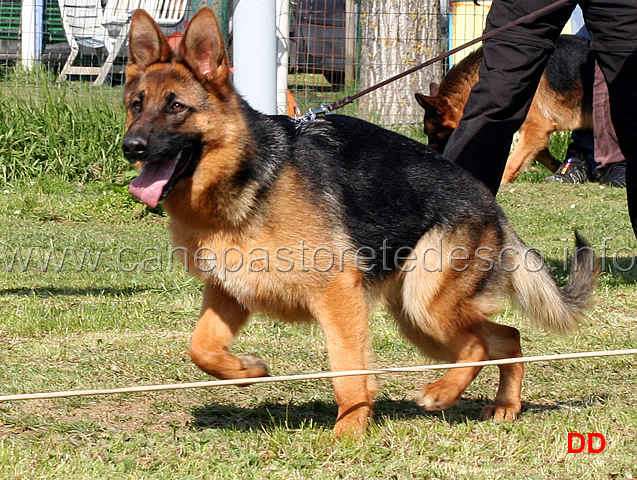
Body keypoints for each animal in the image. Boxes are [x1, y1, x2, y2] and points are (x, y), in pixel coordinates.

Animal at [414, 35, 592, 182]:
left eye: (432, 135)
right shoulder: (536, 133)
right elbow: (540, 154)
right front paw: (560, 168)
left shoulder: (537, 126)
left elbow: (512, 162)